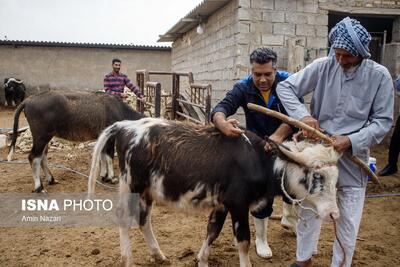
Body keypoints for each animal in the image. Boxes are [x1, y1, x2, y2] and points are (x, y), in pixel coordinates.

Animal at [7, 91, 144, 193]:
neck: (119, 110)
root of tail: (28, 100)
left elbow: (102, 155)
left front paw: (104, 176)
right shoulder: (110, 137)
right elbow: (109, 156)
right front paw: (112, 178)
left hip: (46, 137)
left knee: (42, 156)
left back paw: (51, 180)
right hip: (41, 136)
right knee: (34, 157)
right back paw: (39, 187)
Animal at [88, 119, 340, 267]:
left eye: (336, 178)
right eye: (317, 176)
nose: (334, 213)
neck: (258, 160)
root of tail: (125, 125)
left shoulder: (222, 205)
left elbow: (212, 231)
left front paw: (201, 259)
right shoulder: (238, 205)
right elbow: (243, 241)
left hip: (147, 192)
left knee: (143, 220)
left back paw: (158, 255)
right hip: (131, 186)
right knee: (124, 219)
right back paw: (127, 259)